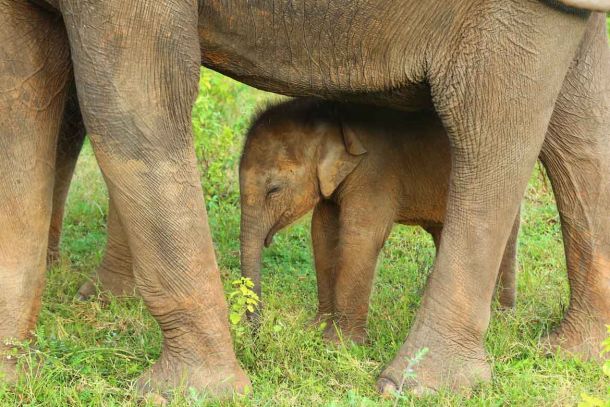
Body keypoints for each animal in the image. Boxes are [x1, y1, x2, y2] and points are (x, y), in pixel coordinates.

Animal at [239, 99, 516, 344]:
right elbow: (322, 232)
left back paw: (500, 316)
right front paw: (316, 328)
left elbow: (361, 236)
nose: (258, 334)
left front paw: (339, 344)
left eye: (274, 189)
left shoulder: (375, 172)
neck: (330, 113)